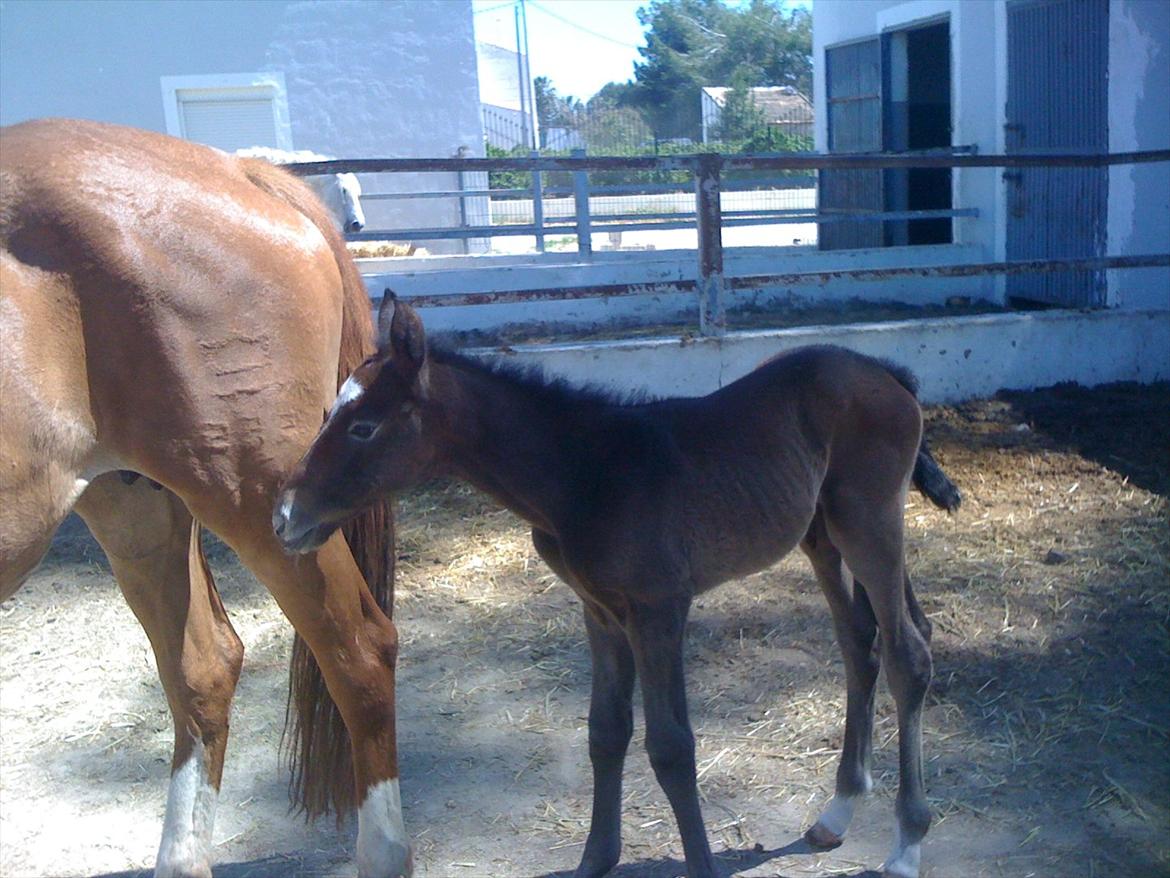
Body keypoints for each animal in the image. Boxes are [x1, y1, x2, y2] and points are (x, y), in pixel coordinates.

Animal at [273, 296, 959, 878]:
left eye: (363, 427)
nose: (284, 516)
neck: (580, 473)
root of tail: (888, 372)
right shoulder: (599, 610)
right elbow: (606, 732)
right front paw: (595, 860)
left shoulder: (659, 609)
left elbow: (672, 746)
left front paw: (700, 866)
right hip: (824, 536)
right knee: (861, 643)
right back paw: (837, 813)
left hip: (869, 523)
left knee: (908, 654)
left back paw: (907, 844)